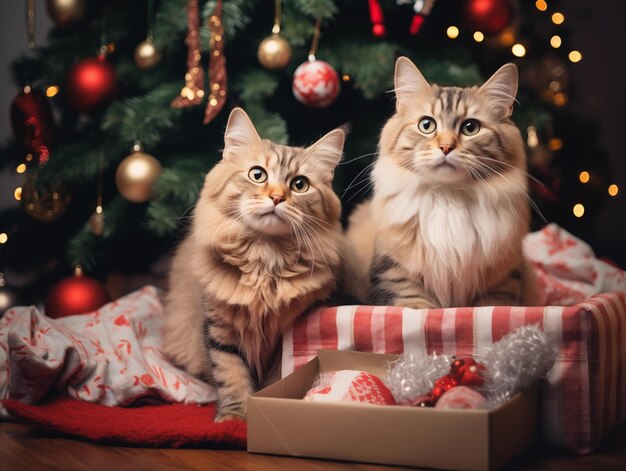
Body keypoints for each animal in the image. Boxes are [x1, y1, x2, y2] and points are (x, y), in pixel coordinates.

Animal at [163, 109, 344, 422]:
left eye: (299, 184)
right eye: (257, 175)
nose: (276, 197)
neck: (264, 260)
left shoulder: (289, 336)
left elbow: (280, 378)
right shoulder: (219, 329)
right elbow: (230, 374)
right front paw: (233, 417)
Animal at [344, 57, 532, 310]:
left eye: (470, 128)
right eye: (427, 125)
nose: (445, 147)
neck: (448, 197)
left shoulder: (503, 280)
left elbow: (493, 306)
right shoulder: (397, 273)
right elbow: (416, 306)